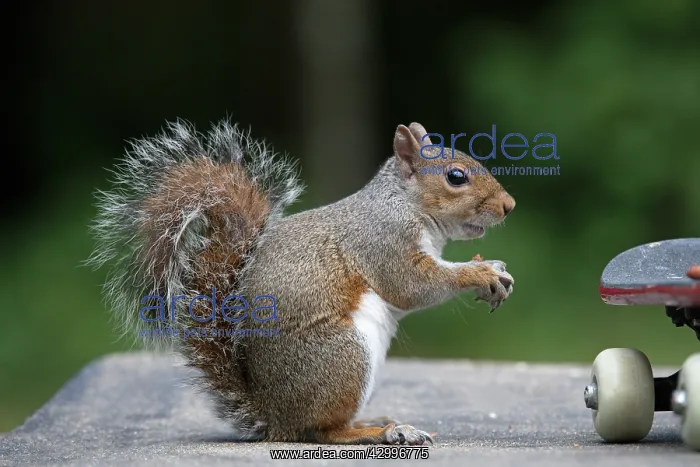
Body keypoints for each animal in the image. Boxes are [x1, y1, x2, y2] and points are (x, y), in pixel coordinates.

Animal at [88, 119, 516, 446]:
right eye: (456, 177)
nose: (508, 206)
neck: (403, 203)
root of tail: (276, 416)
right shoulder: (383, 241)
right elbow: (411, 286)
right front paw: (480, 273)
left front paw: (490, 266)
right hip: (343, 355)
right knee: (322, 432)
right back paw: (381, 432)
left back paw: (372, 421)